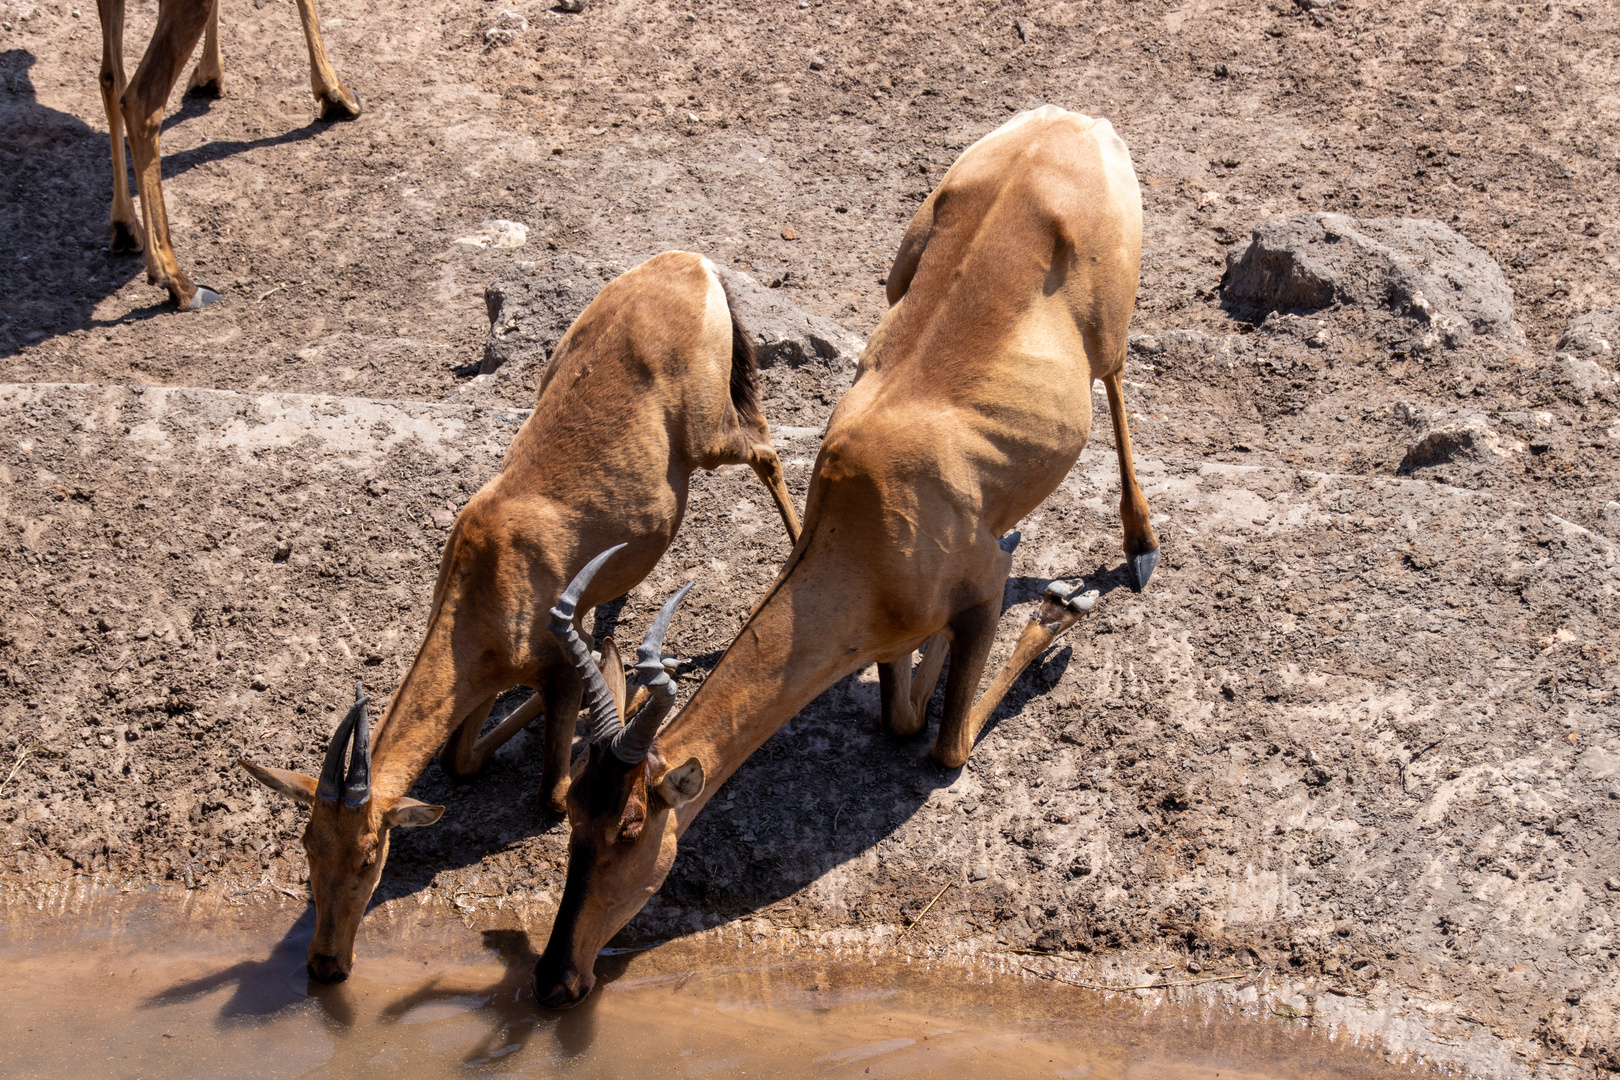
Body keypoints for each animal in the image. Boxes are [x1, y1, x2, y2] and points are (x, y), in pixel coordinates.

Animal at [98, 0, 361, 310]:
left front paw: (209, 75)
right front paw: (334, 94)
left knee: (111, 78)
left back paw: (125, 226)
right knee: (140, 101)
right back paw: (178, 282)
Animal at [236, 255, 803, 990]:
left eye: (369, 854)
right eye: (308, 844)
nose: (327, 965)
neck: (491, 560)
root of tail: (688, 264)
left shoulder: (557, 678)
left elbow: (552, 794)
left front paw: (619, 681)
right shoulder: (485, 681)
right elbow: (460, 758)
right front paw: (612, 665)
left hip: (712, 438)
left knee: (765, 449)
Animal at [534, 105, 1166, 1010]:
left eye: (629, 825)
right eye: (574, 819)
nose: (556, 978)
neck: (867, 505)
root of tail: (1073, 122)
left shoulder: (981, 594)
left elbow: (945, 745)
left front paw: (1062, 604)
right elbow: (902, 712)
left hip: (1110, 335)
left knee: (1115, 383)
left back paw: (1140, 547)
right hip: (903, 267)